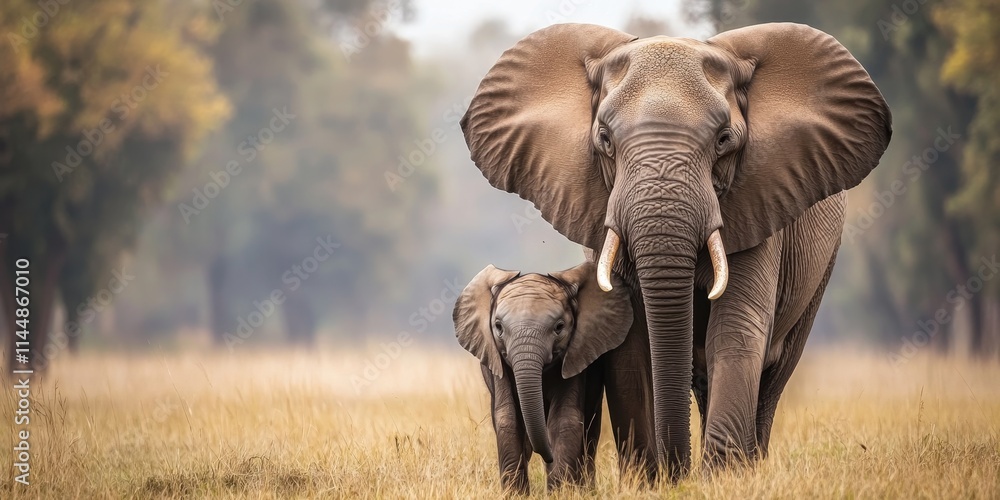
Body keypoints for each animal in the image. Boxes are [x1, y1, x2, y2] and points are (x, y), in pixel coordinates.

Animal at [453, 262, 633, 493]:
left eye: (559, 327)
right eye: (499, 327)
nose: (549, 457)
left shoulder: (575, 354)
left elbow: (565, 419)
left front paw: (560, 492)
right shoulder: (497, 359)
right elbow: (507, 418)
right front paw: (516, 494)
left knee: (589, 432)